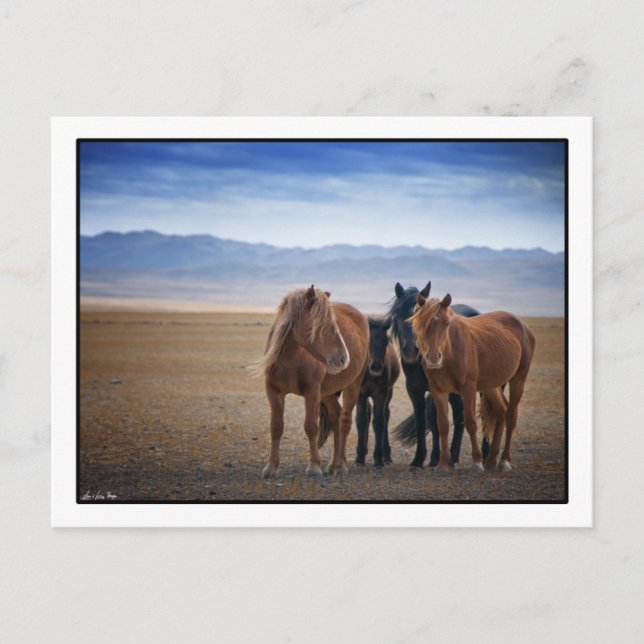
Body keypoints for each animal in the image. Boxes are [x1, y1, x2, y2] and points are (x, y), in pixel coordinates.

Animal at [257, 285, 369, 478]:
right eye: (322, 325)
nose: (343, 358)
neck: (291, 360)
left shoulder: (312, 392)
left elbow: (311, 427)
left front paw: (314, 467)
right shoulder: (273, 391)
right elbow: (276, 427)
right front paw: (271, 467)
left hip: (352, 386)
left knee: (345, 422)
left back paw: (340, 465)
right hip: (327, 393)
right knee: (336, 416)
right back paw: (333, 464)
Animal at [355, 317, 400, 467]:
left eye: (386, 341)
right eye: (368, 341)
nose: (376, 366)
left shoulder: (381, 394)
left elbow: (379, 422)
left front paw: (378, 459)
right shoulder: (360, 394)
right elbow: (361, 420)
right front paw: (359, 457)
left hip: (390, 391)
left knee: (386, 415)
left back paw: (387, 455)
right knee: (368, 413)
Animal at [389, 281, 483, 467]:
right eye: (396, 314)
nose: (411, 351)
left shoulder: (435, 388)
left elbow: (434, 421)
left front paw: (434, 459)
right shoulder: (414, 389)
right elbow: (421, 420)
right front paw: (418, 459)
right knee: (460, 413)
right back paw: (454, 456)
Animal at [409, 293, 536, 472]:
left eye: (446, 323)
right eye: (421, 325)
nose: (434, 357)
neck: (451, 352)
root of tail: (523, 326)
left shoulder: (468, 389)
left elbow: (470, 422)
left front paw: (476, 461)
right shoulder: (438, 390)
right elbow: (442, 425)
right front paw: (443, 464)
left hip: (518, 380)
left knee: (511, 416)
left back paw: (504, 461)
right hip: (491, 386)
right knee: (501, 411)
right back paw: (491, 460)